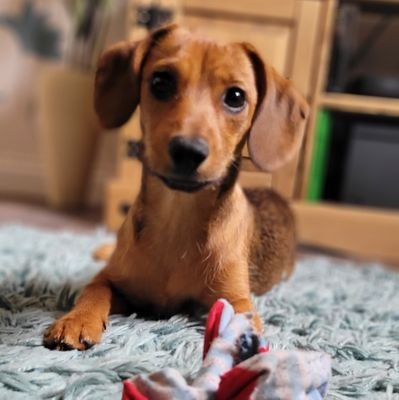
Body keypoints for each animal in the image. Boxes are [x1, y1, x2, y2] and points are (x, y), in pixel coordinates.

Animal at [43, 25, 310, 350]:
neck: (177, 218)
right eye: (161, 81)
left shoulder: (237, 300)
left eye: (236, 97)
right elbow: (93, 289)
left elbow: (240, 318)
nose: (188, 151)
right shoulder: (112, 280)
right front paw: (77, 320)